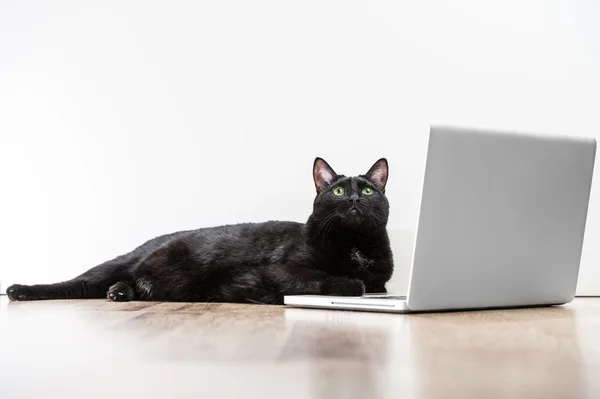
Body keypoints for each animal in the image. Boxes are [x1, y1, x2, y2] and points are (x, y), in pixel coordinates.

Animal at [8, 158, 394, 304]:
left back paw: (120, 292)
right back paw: (19, 290)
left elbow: (373, 284)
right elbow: (324, 278)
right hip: (112, 266)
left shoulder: (381, 279)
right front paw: (349, 283)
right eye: (339, 191)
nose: (355, 199)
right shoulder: (283, 268)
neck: (355, 244)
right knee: (78, 283)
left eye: (368, 190)